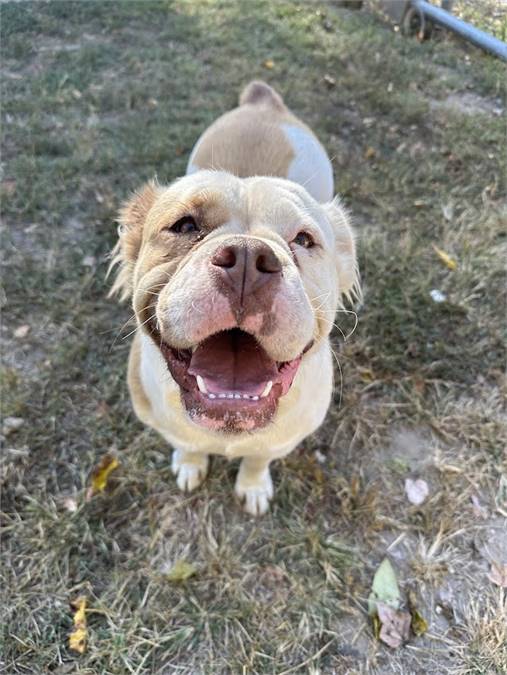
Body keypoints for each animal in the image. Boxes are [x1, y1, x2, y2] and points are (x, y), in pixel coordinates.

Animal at [109, 82, 360, 516]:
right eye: (184, 225)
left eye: (304, 239)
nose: (247, 258)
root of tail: (263, 102)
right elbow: (188, 445)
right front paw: (190, 465)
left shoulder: (279, 441)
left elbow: (258, 459)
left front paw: (253, 487)